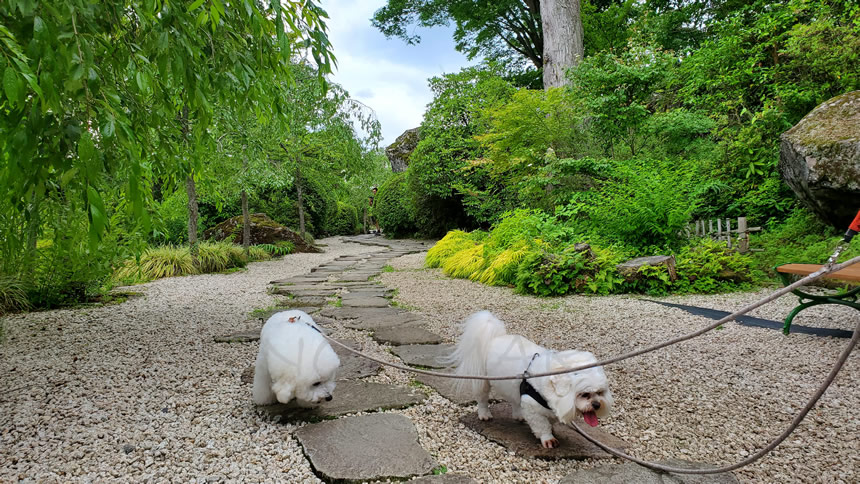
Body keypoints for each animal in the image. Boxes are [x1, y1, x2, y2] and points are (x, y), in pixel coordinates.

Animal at [450, 312, 612, 448]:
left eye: (600, 393)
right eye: (584, 394)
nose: (597, 404)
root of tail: (494, 338)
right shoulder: (531, 406)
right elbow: (541, 425)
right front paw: (548, 438)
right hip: (483, 381)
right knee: (483, 398)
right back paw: (484, 414)